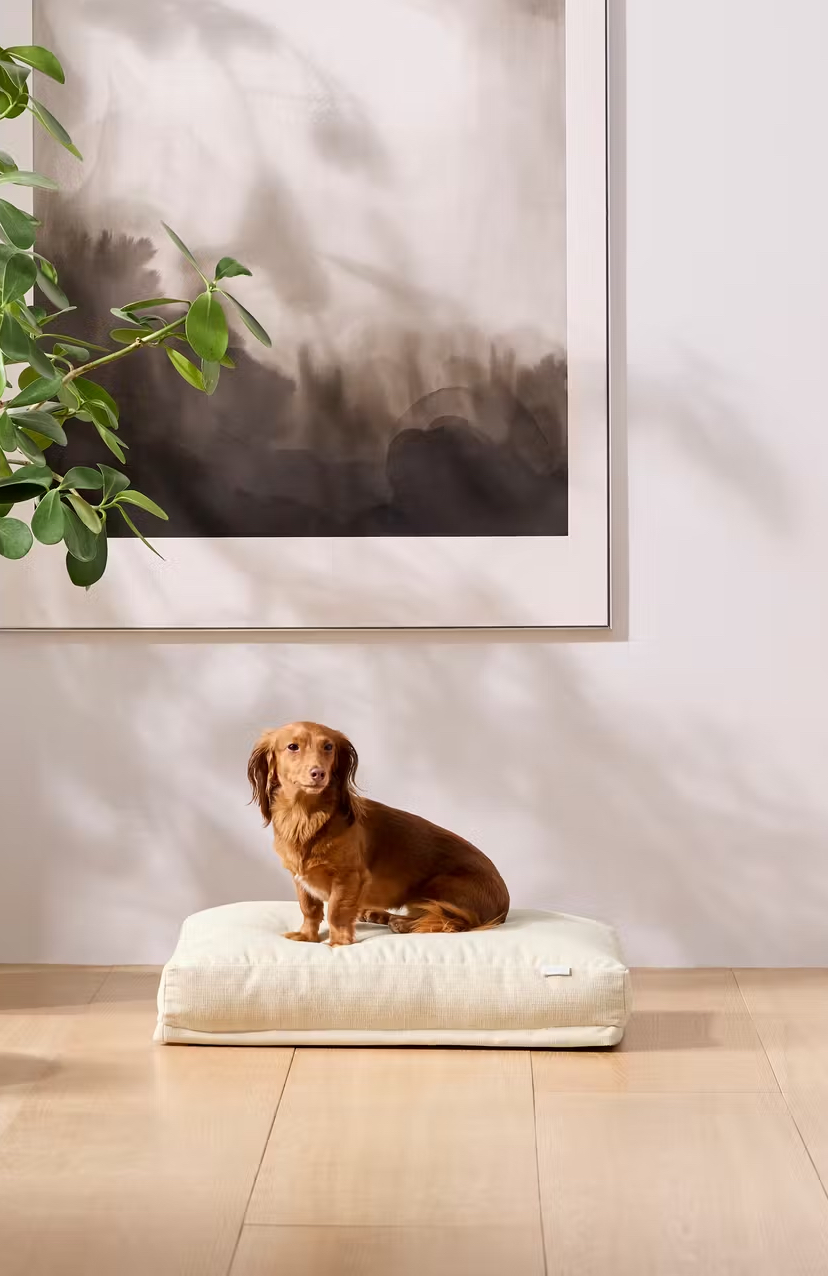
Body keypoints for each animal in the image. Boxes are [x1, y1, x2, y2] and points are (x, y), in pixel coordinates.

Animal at [248, 724, 507, 944]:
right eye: (293, 746)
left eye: (328, 747)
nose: (318, 773)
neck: (305, 817)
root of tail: (504, 903)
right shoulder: (300, 878)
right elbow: (309, 909)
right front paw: (306, 936)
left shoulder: (350, 876)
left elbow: (336, 911)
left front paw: (338, 942)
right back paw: (378, 915)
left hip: (442, 886)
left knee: (452, 921)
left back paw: (402, 923)